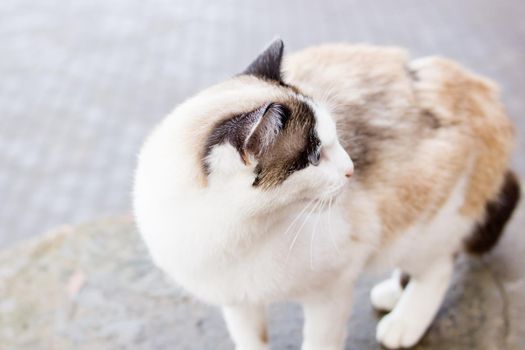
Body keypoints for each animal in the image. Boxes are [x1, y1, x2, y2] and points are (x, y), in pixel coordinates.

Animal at [132, 39, 520, 348]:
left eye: (337, 139)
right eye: (316, 157)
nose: (351, 169)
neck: (237, 238)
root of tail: (475, 84)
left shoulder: (331, 291)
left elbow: (320, 341)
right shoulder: (238, 303)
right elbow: (251, 341)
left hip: (425, 220)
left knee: (440, 265)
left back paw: (404, 322)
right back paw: (392, 294)